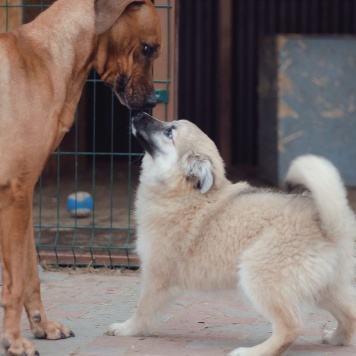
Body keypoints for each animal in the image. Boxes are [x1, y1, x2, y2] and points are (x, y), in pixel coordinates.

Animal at [0, 1, 161, 354]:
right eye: (149, 49)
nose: (152, 102)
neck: (46, 56)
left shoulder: (25, 196)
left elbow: (30, 272)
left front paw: (42, 326)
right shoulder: (15, 194)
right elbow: (15, 280)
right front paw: (15, 341)